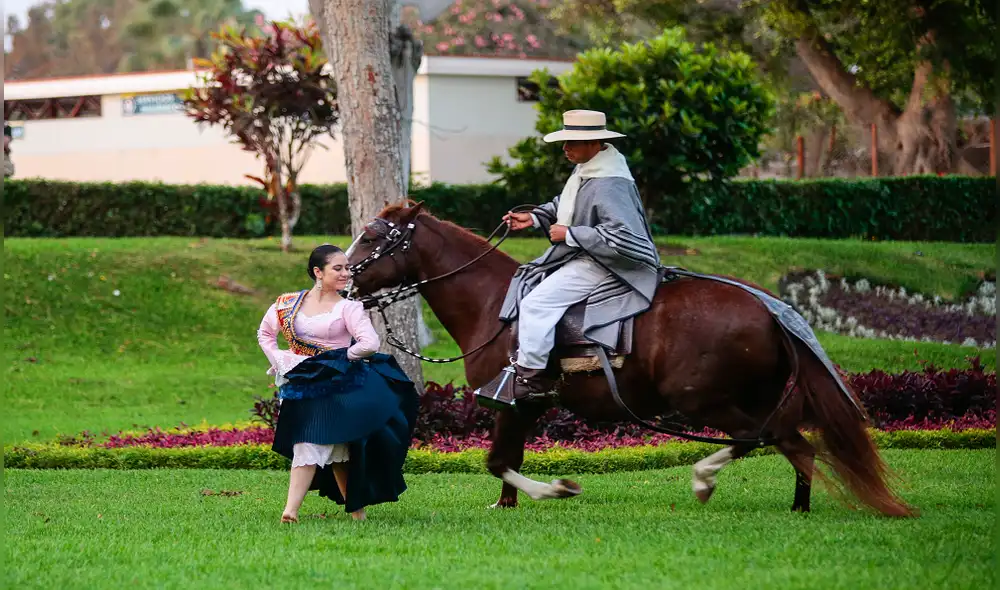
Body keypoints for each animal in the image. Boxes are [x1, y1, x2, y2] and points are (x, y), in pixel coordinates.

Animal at [345, 200, 914, 517]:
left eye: (371, 237)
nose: (342, 281)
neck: (495, 305)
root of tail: (768, 308)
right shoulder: (526, 408)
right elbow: (507, 463)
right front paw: (509, 504)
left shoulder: (512, 402)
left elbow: (499, 461)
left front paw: (556, 490)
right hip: (755, 398)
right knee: (798, 447)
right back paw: (797, 506)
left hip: (705, 401)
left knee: (764, 439)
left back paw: (706, 479)